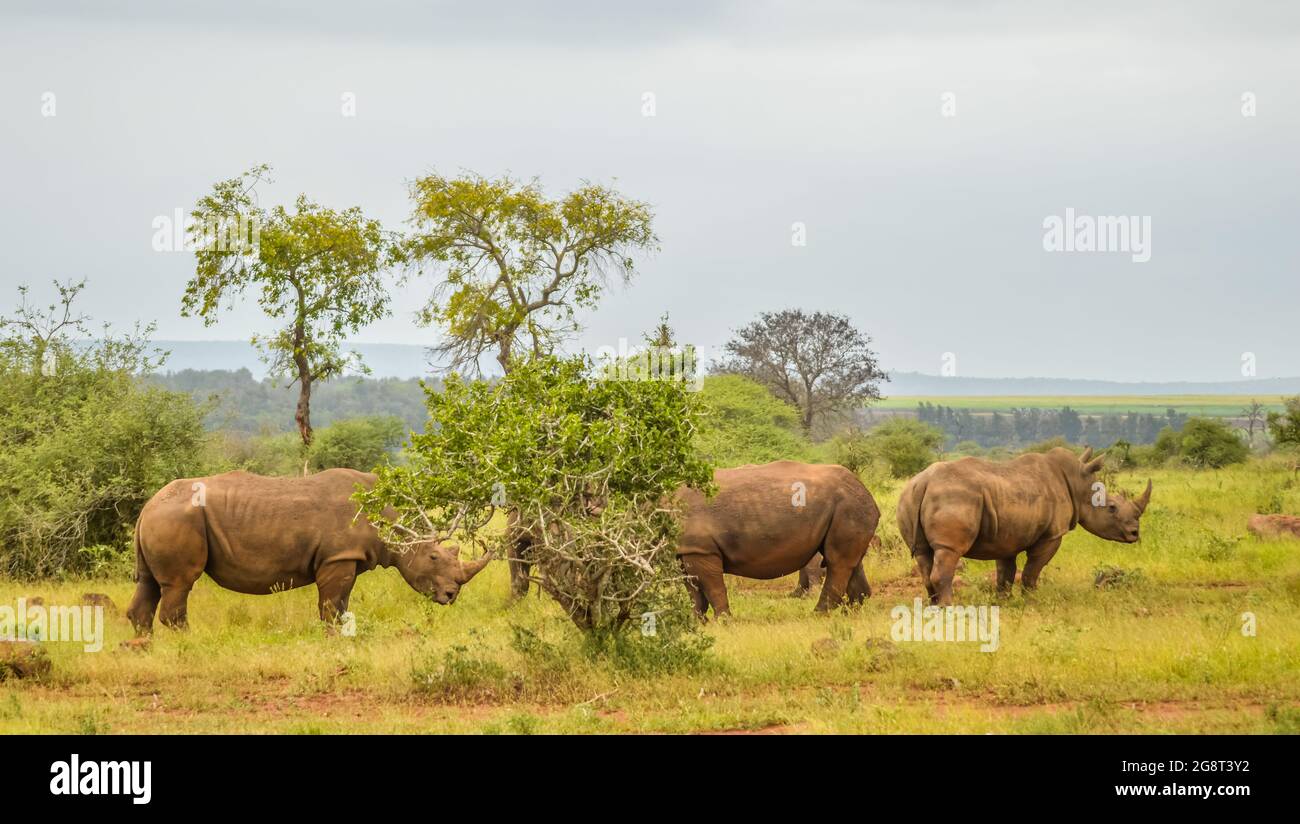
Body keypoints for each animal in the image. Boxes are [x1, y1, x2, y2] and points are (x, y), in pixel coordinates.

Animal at [126, 469, 490, 634]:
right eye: (433, 558)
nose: (451, 595)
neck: (392, 523)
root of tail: (148, 506)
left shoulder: (345, 558)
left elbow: (341, 605)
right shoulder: (338, 557)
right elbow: (330, 606)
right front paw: (333, 638)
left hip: (162, 517)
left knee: (148, 583)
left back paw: (146, 649)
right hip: (176, 518)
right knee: (179, 584)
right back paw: (189, 642)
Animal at [676, 461, 880, 617]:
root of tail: (866, 491)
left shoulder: (700, 549)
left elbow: (713, 588)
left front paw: (723, 622)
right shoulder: (687, 550)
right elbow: (694, 593)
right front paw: (696, 623)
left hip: (848, 506)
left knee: (837, 561)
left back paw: (819, 615)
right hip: (848, 507)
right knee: (850, 561)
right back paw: (851, 613)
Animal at [896, 447, 1151, 605]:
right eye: (1112, 508)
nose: (1134, 534)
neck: (1078, 483)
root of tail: (924, 482)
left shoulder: (1005, 536)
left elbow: (1005, 573)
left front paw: (1003, 602)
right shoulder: (1051, 535)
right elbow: (1032, 571)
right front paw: (1032, 602)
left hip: (909, 496)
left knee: (923, 555)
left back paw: (933, 607)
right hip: (955, 498)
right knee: (948, 552)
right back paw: (948, 609)